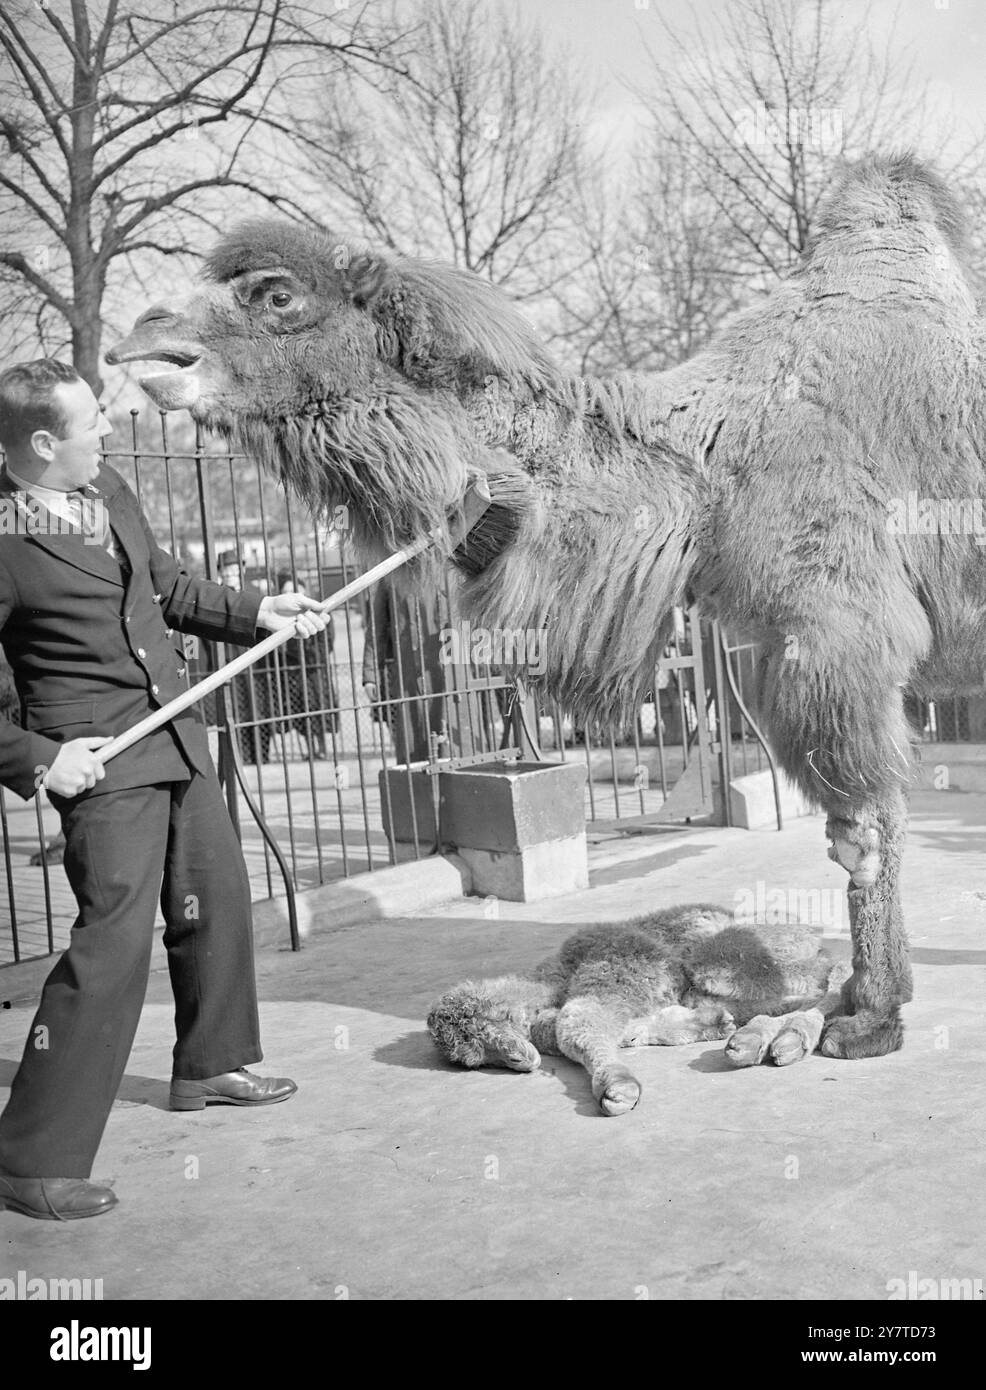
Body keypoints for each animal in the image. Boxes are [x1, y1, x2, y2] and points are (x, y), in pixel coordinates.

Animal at [105, 152, 984, 1056]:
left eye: (276, 295)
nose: (141, 340)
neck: (705, 469)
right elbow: (858, 830)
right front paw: (847, 1002)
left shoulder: (833, 632)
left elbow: (864, 831)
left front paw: (869, 1018)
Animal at [425, 900, 851, 1117]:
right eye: (477, 1057)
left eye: (487, 1045)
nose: (520, 1059)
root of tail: (810, 935)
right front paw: (711, 1025)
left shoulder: (624, 966)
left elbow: (574, 1024)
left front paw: (617, 1087)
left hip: (726, 956)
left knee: (833, 975)